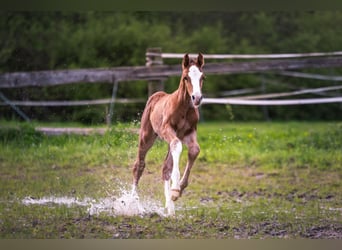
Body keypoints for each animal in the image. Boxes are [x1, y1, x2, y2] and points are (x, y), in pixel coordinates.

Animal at [132, 52, 204, 215]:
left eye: (202, 77)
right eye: (186, 77)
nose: (197, 98)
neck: (184, 108)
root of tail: (156, 95)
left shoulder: (189, 133)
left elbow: (194, 151)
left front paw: (178, 190)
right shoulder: (167, 129)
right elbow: (177, 146)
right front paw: (175, 188)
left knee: (165, 167)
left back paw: (170, 208)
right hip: (147, 136)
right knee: (139, 165)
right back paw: (131, 201)